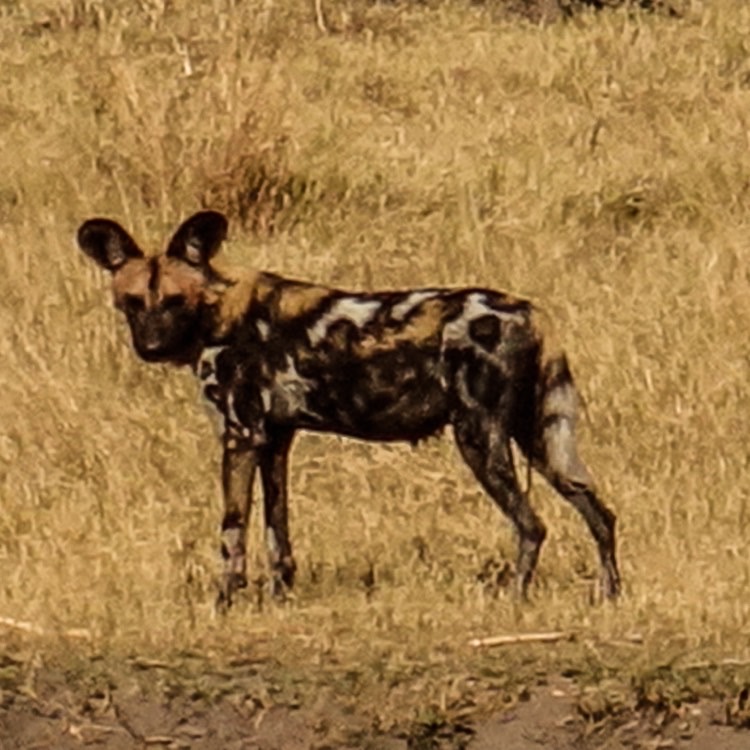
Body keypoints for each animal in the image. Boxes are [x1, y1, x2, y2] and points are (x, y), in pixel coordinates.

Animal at [76, 209, 624, 608]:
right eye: (132, 302)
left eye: (173, 302)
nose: (150, 347)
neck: (217, 309)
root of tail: (530, 312)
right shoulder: (274, 440)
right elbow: (277, 532)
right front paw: (280, 599)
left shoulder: (241, 437)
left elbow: (232, 531)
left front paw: (223, 605)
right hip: (540, 441)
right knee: (600, 512)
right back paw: (610, 595)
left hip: (479, 440)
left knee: (532, 525)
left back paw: (514, 599)